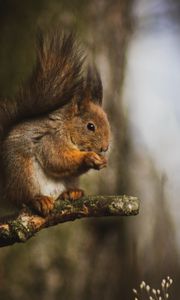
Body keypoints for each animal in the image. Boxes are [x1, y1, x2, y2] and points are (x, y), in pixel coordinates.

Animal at [0, 28, 110, 216]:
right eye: (90, 126)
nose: (105, 148)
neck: (67, 127)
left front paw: (102, 161)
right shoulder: (50, 139)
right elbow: (56, 159)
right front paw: (88, 157)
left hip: (69, 179)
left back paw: (72, 192)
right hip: (22, 173)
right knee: (23, 197)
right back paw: (39, 199)